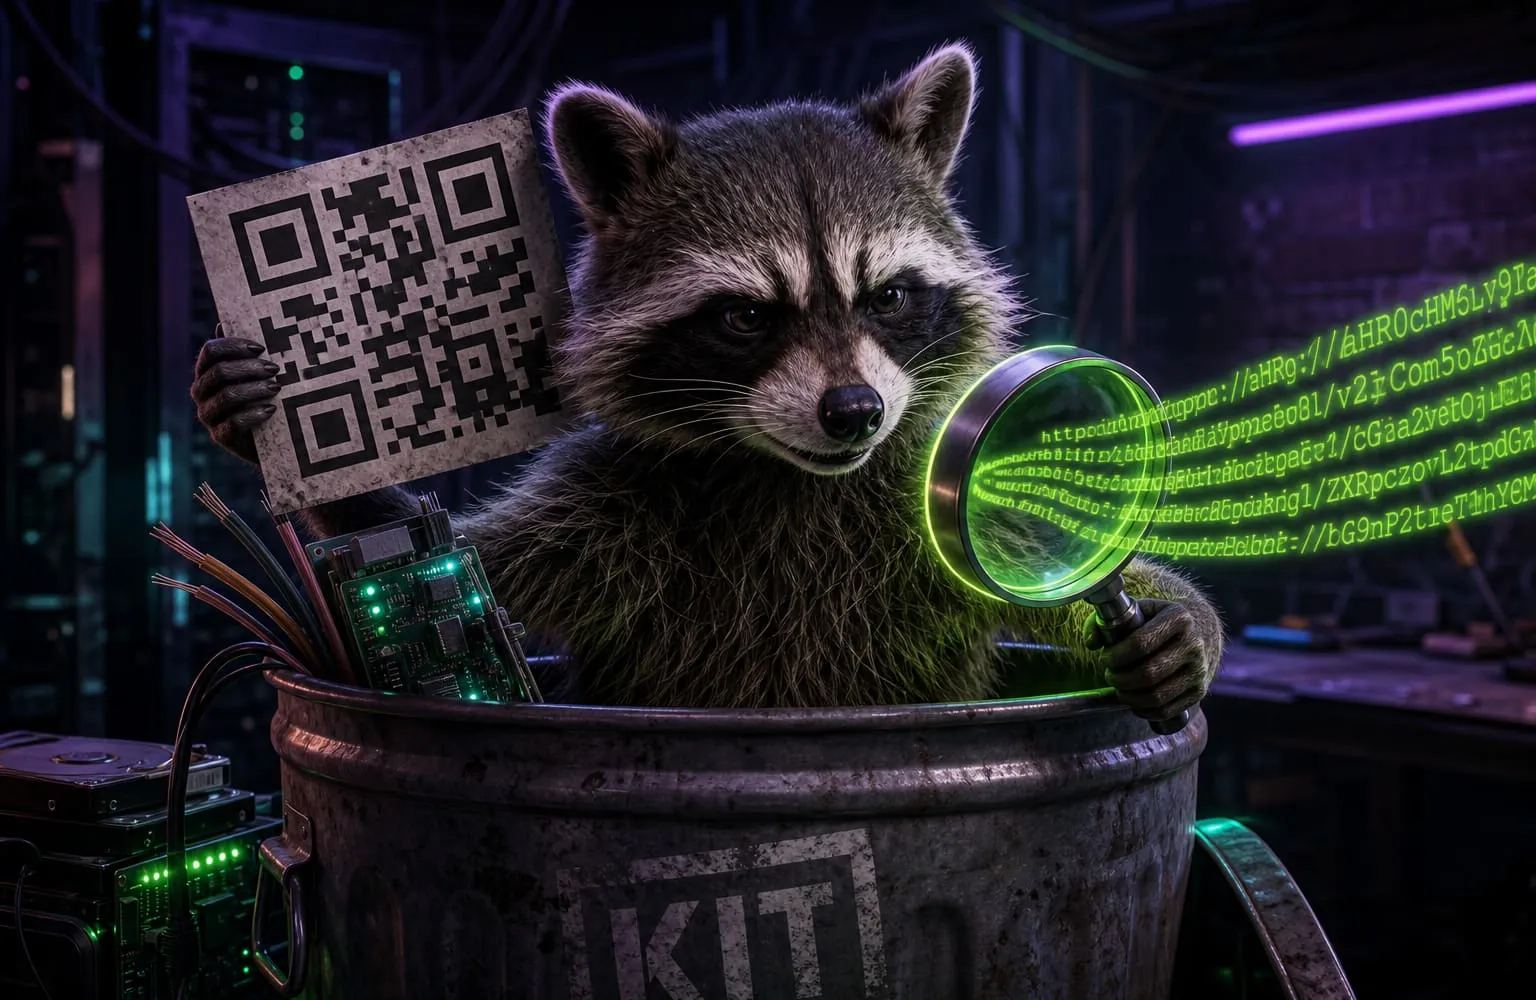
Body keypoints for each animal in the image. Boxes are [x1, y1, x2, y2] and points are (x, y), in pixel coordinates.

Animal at [193, 43, 1223, 715]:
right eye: (744, 318)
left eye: (889, 295)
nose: (855, 412)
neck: (797, 480)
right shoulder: (611, 509)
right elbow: (466, 570)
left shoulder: (932, 507)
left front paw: (1178, 620)